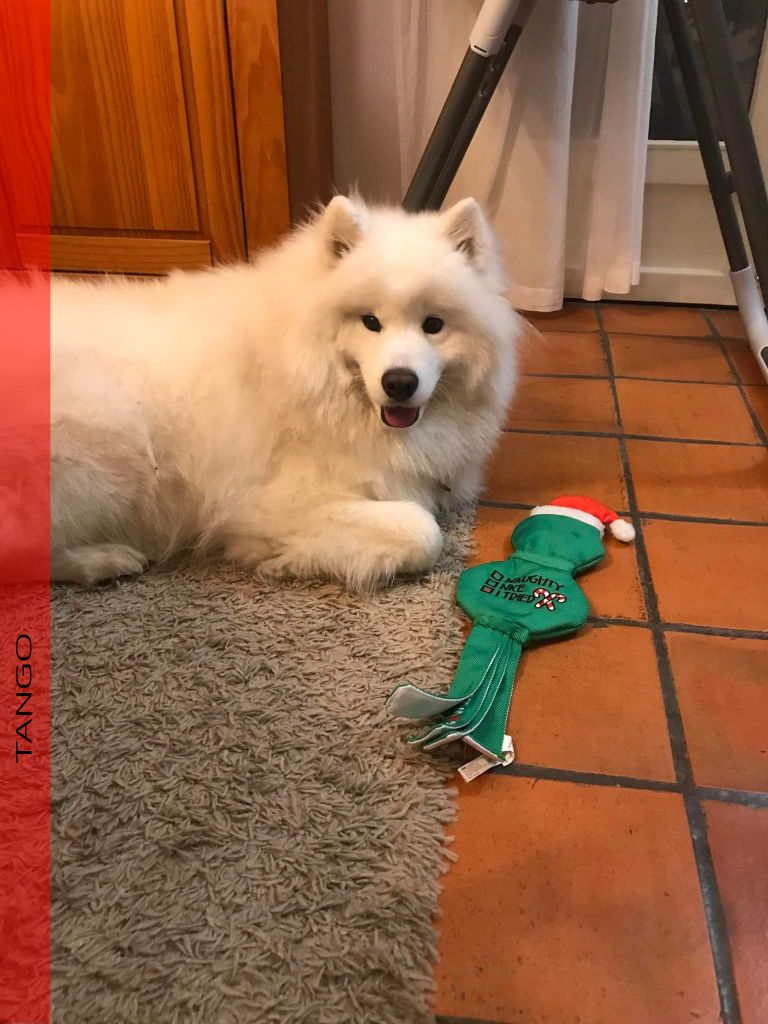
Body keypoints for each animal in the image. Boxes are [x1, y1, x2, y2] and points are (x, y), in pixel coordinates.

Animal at [49, 195, 522, 589]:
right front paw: (283, 558)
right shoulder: (271, 499)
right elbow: (423, 531)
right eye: (370, 322)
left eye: (433, 325)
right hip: (109, 456)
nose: (399, 382)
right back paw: (101, 560)